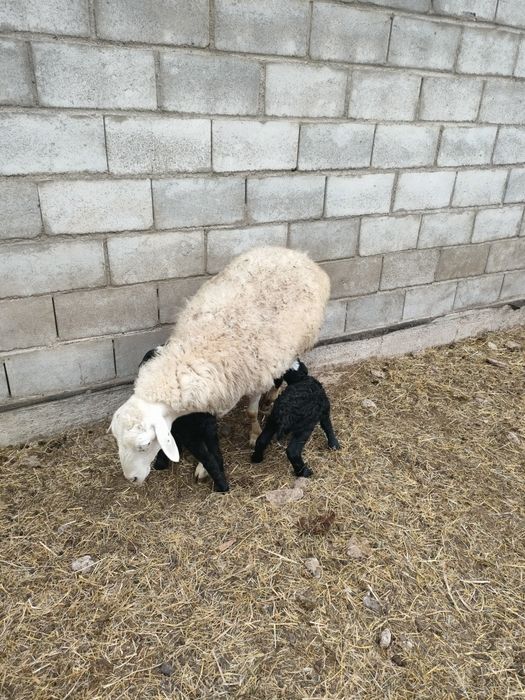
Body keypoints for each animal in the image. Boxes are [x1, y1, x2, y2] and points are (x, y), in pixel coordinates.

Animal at [140, 348, 228, 492]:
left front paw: (160, 463)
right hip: (209, 427)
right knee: (216, 453)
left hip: (191, 433)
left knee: (208, 458)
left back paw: (221, 486)